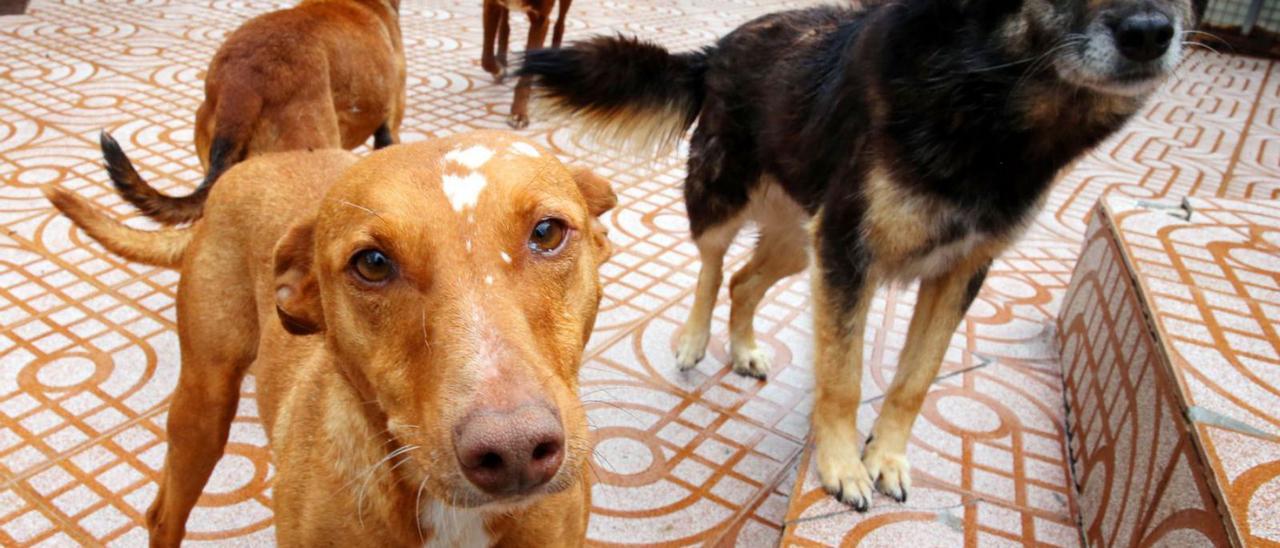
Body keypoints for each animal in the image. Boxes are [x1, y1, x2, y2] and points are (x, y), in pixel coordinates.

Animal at [45, 130, 614, 545]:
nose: (514, 449)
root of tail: (244, 168)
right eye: (373, 263)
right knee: (164, 513)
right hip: (203, 406)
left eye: (547, 232)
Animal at [481, 0, 573, 128]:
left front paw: (519, 113)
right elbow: (486, 59)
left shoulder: (540, 21)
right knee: (505, 24)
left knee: (560, 25)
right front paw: (499, 70)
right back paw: (502, 60)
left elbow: (526, 75)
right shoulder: (490, 5)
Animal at [517, 0, 1198, 509]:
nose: (1149, 34)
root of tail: (719, 48)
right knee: (712, 267)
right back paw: (693, 340)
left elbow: (915, 380)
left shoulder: (958, 272)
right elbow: (843, 379)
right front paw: (843, 466)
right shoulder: (849, 252)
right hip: (728, 199)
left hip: (800, 243)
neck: (986, 97)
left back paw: (744, 348)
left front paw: (887, 458)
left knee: (745, 281)